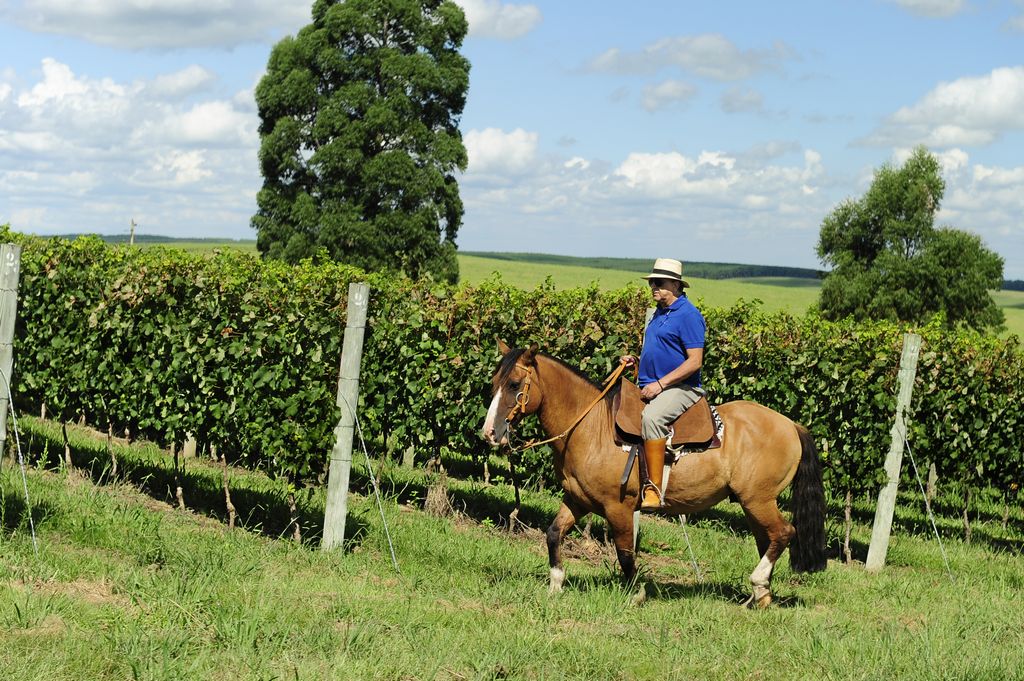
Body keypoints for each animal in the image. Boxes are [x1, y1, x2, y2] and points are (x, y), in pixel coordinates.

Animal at [483, 339, 827, 606]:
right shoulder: (577, 500)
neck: (591, 426)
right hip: (752, 503)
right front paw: (556, 584)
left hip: (758, 499)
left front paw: (637, 593)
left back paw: (757, 583)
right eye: (494, 383)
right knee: (767, 538)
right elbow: (554, 533)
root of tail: (791, 425)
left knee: (784, 533)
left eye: (514, 385)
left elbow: (624, 551)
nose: (489, 433)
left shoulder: (618, 507)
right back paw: (761, 595)